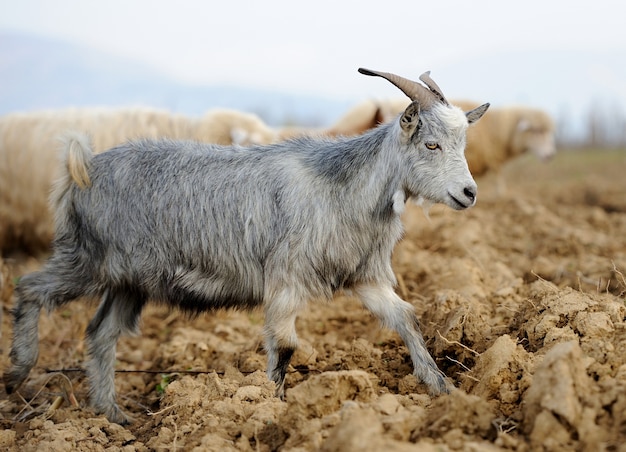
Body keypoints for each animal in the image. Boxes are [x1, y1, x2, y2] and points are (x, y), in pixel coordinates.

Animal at [2, 68, 488, 424]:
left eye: (462, 142)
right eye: (431, 143)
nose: (469, 194)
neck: (342, 186)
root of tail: (81, 170)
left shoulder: (364, 277)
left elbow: (406, 317)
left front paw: (441, 387)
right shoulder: (286, 278)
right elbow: (285, 344)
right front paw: (271, 407)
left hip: (129, 280)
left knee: (100, 334)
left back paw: (112, 414)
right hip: (87, 258)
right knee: (29, 286)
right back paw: (18, 371)